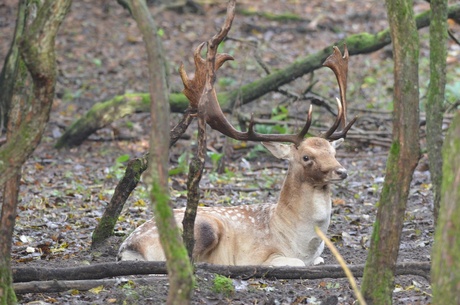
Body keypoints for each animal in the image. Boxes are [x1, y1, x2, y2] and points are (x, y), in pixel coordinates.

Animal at [118, 4, 356, 264]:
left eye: (333, 151)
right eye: (306, 157)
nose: (342, 171)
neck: (302, 245)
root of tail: (128, 246)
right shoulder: (262, 256)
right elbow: (294, 263)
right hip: (204, 228)